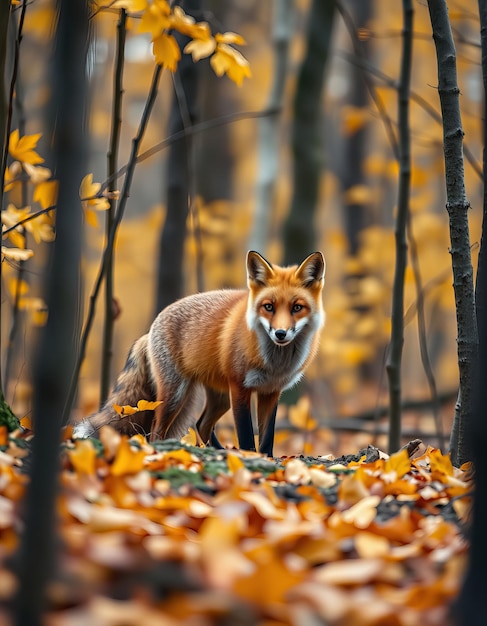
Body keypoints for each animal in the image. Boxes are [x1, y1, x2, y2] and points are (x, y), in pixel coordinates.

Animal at [74, 249, 326, 454]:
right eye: (269, 307)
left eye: (297, 307)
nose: (280, 334)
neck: (275, 363)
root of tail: (150, 328)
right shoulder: (240, 387)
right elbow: (246, 435)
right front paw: (249, 457)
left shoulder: (271, 392)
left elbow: (266, 439)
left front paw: (266, 460)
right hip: (175, 395)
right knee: (156, 431)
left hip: (219, 398)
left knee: (201, 424)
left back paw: (219, 452)